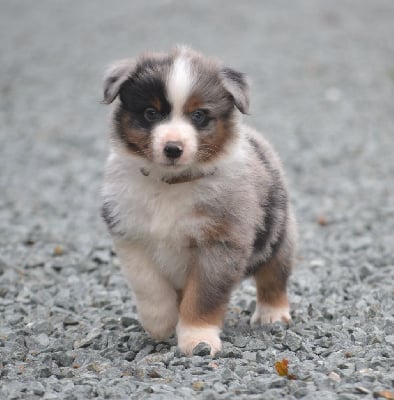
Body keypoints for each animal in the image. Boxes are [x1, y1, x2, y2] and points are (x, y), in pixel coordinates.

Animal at [101, 47, 296, 356]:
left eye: (199, 115)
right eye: (150, 113)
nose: (173, 148)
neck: (170, 184)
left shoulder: (220, 244)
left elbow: (202, 297)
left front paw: (198, 339)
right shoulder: (130, 235)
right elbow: (149, 284)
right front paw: (160, 324)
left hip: (279, 234)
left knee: (274, 274)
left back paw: (272, 314)